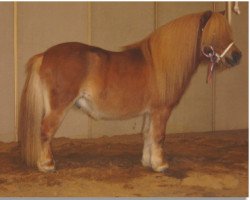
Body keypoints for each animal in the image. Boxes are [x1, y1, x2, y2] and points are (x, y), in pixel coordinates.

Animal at [18, 10, 242, 172]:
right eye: (214, 33)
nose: (237, 56)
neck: (160, 63)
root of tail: (45, 55)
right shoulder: (162, 111)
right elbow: (159, 136)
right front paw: (161, 165)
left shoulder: (150, 112)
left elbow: (147, 134)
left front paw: (148, 161)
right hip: (58, 108)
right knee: (45, 131)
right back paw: (47, 165)